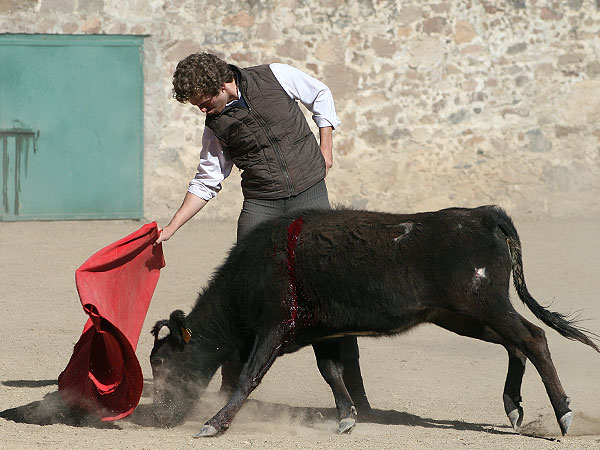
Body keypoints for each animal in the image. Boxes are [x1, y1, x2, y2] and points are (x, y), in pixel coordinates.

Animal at [150, 207, 600, 436]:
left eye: (162, 362)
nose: (159, 418)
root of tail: (481, 215)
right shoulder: (322, 331)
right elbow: (332, 372)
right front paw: (347, 416)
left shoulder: (273, 328)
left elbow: (248, 376)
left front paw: (214, 423)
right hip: (461, 315)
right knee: (516, 344)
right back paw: (513, 407)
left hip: (484, 304)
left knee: (534, 338)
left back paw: (563, 414)